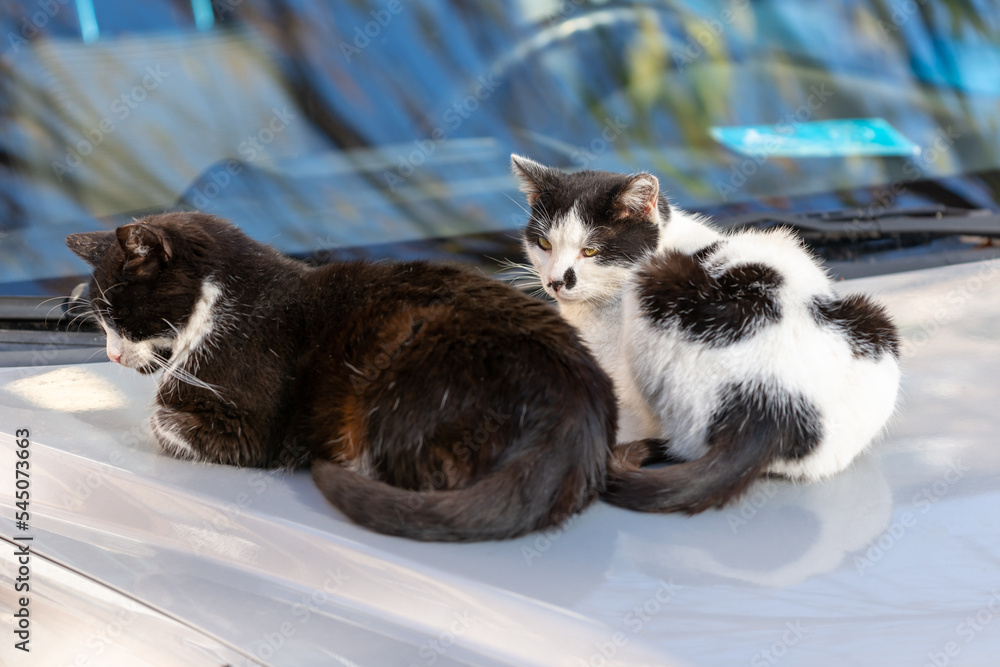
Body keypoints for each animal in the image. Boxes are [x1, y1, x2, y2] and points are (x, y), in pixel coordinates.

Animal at [66, 214, 612, 544]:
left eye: (119, 315)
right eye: (101, 320)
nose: (111, 355)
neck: (220, 301)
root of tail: (576, 413)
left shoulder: (246, 427)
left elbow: (162, 418)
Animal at [512, 158, 904, 516]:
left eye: (591, 251)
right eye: (544, 243)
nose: (556, 281)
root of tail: (771, 403)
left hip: (658, 287)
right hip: (875, 325)